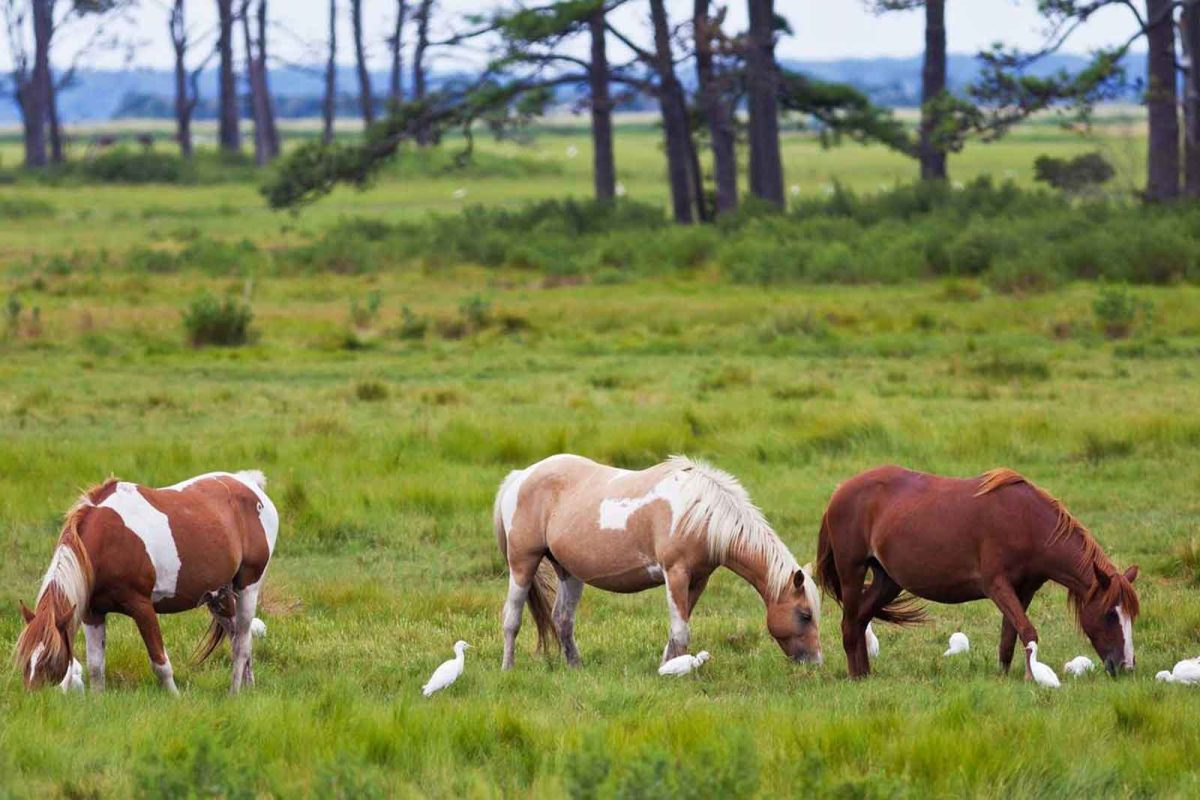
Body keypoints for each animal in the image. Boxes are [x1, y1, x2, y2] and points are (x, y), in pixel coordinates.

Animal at [14, 470, 277, 695]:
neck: (108, 541)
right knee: (241, 639)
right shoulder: (93, 613)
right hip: (219, 598)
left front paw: (175, 699)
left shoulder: (142, 608)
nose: (34, 698)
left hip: (248, 588)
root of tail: (250, 483)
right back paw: (248, 689)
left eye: (50, 659)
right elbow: (97, 667)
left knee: (241, 644)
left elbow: (161, 664)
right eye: (26, 660)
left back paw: (234, 693)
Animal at [492, 455, 820, 671]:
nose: (816, 662)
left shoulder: (697, 580)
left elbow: (677, 630)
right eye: (805, 615)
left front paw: (669, 667)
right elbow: (681, 630)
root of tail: (520, 476)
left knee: (562, 619)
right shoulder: (675, 573)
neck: (700, 512)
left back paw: (576, 668)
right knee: (512, 618)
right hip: (522, 563)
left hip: (569, 572)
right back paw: (508, 668)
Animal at [816, 465, 1142, 681]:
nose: (1126, 666)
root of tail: (839, 492)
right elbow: (1027, 631)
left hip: (888, 581)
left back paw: (865, 675)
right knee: (849, 625)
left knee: (860, 620)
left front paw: (1005, 676)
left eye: (1131, 616)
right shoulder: (996, 586)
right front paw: (1031, 677)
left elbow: (1009, 637)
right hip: (852, 571)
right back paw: (855, 677)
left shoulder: (1024, 590)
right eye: (1110, 615)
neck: (1026, 522)